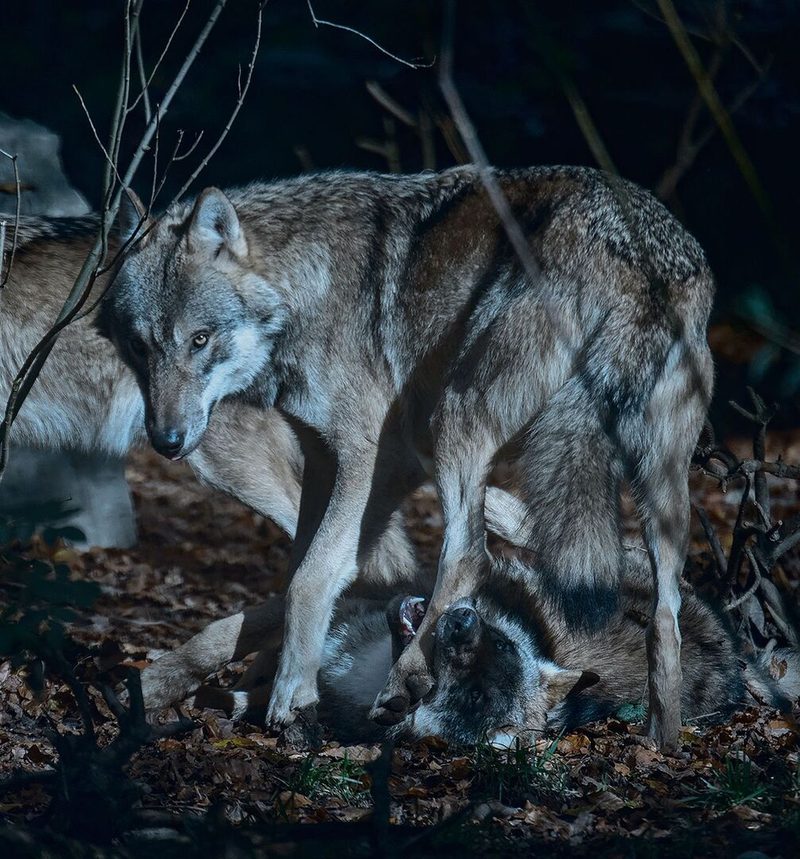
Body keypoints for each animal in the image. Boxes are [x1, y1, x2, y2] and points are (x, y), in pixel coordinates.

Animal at [102, 165, 714, 748]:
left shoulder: (368, 455)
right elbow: (303, 582)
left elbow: (311, 578)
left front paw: (292, 697)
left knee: (470, 555)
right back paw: (662, 741)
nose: (166, 441)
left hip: (456, 419)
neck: (304, 290)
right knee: (664, 618)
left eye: (200, 339)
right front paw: (165, 684)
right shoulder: (338, 465)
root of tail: (635, 253)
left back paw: (407, 675)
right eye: (139, 345)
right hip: (661, 493)